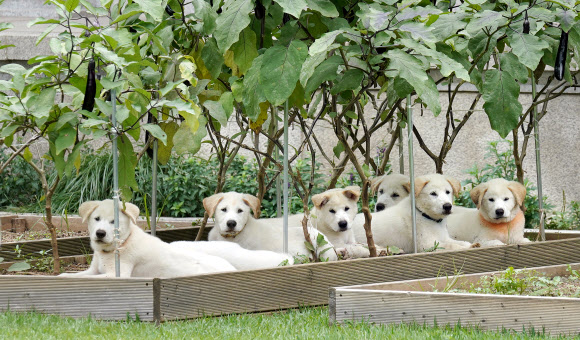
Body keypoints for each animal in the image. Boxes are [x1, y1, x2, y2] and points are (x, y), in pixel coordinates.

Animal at [59, 201, 236, 278]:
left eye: (114, 222)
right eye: (96, 219)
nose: (100, 233)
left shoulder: (118, 274)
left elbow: (88, 278)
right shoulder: (93, 270)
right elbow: (72, 275)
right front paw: (62, 277)